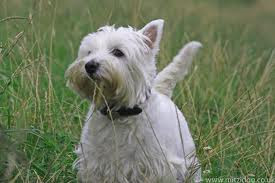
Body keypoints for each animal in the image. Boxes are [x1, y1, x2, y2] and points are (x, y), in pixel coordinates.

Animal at [65, 19, 203, 182]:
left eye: (118, 52)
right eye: (89, 52)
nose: (89, 65)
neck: (118, 113)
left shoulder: (157, 167)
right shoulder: (94, 163)